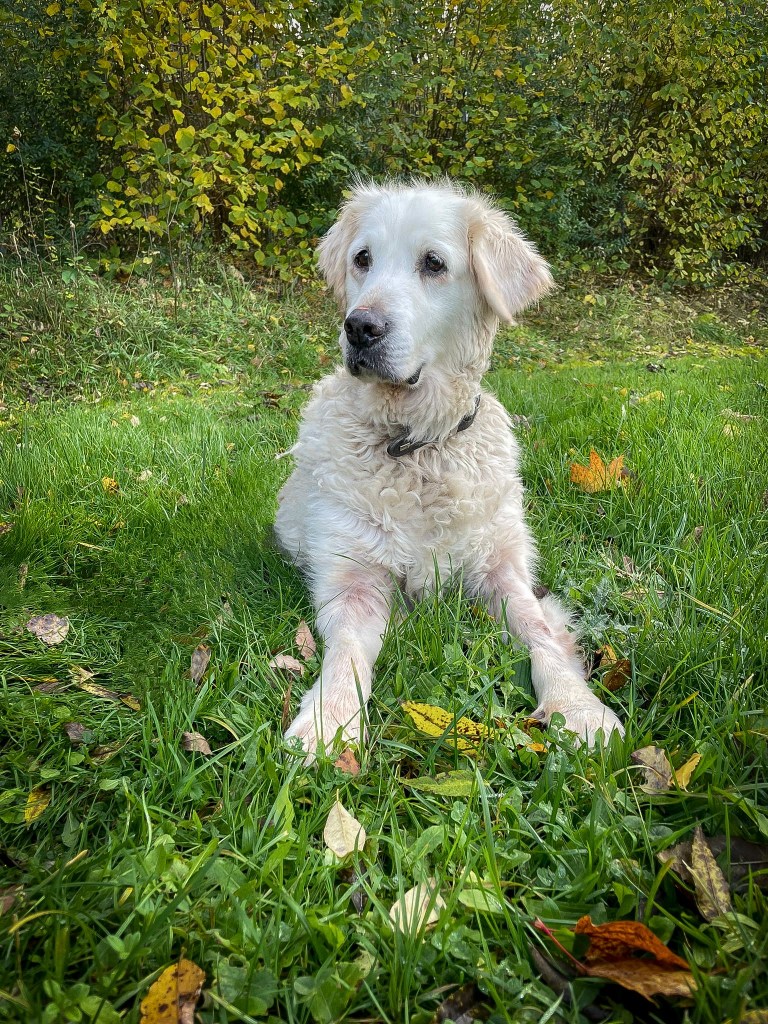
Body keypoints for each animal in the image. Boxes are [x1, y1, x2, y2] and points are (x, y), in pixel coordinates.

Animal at [276, 180, 626, 757]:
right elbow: (345, 653)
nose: (360, 327)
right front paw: (330, 723)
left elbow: (540, 633)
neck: (417, 447)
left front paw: (579, 709)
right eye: (362, 259)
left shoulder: (501, 567)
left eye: (434, 263)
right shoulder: (353, 578)